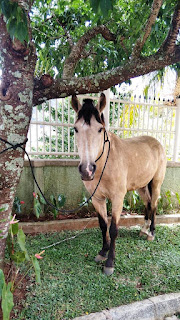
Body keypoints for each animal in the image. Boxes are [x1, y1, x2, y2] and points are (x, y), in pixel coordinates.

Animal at [71, 92, 167, 276]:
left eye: (100, 129)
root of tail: (157, 143)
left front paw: (109, 263)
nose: (87, 170)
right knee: (148, 203)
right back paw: (143, 229)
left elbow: (113, 229)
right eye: (75, 129)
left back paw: (151, 233)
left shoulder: (117, 199)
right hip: (141, 186)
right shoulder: (97, 199)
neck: (105, 164)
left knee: (154, 205)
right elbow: (103, 225)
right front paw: (102, 252)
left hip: (156, 183)